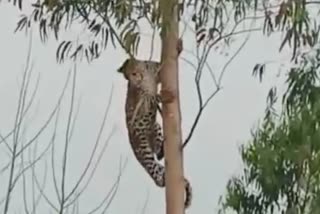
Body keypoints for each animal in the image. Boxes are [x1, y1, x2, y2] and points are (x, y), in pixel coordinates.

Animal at [117, 57, 192, 209]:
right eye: (127, 77)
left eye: (132, 74)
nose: (134, 83)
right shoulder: (143, 99)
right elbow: (151, 96)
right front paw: (164, 96)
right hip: (143, 149)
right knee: (157, 177)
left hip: (156, 127)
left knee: (158, 154)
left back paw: (163, 149)